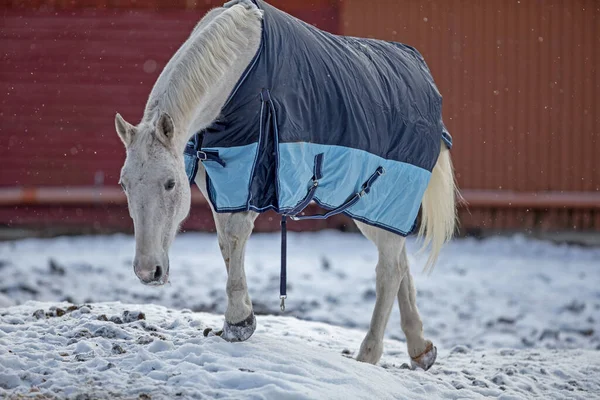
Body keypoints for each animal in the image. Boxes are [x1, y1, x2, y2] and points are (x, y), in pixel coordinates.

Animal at [115, 0, 458, 370]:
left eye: (169, 184)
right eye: (124, 185)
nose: (147, 271)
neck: (240, 72)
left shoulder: (252, 173)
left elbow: (235, 236)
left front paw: (238, 322)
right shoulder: (219, 180)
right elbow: (225, 243)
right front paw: (240, 318)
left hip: (380, 196)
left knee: (389, 271)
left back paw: (368, 356)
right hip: (376, 207)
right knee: (399, 262)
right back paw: (420, 348)